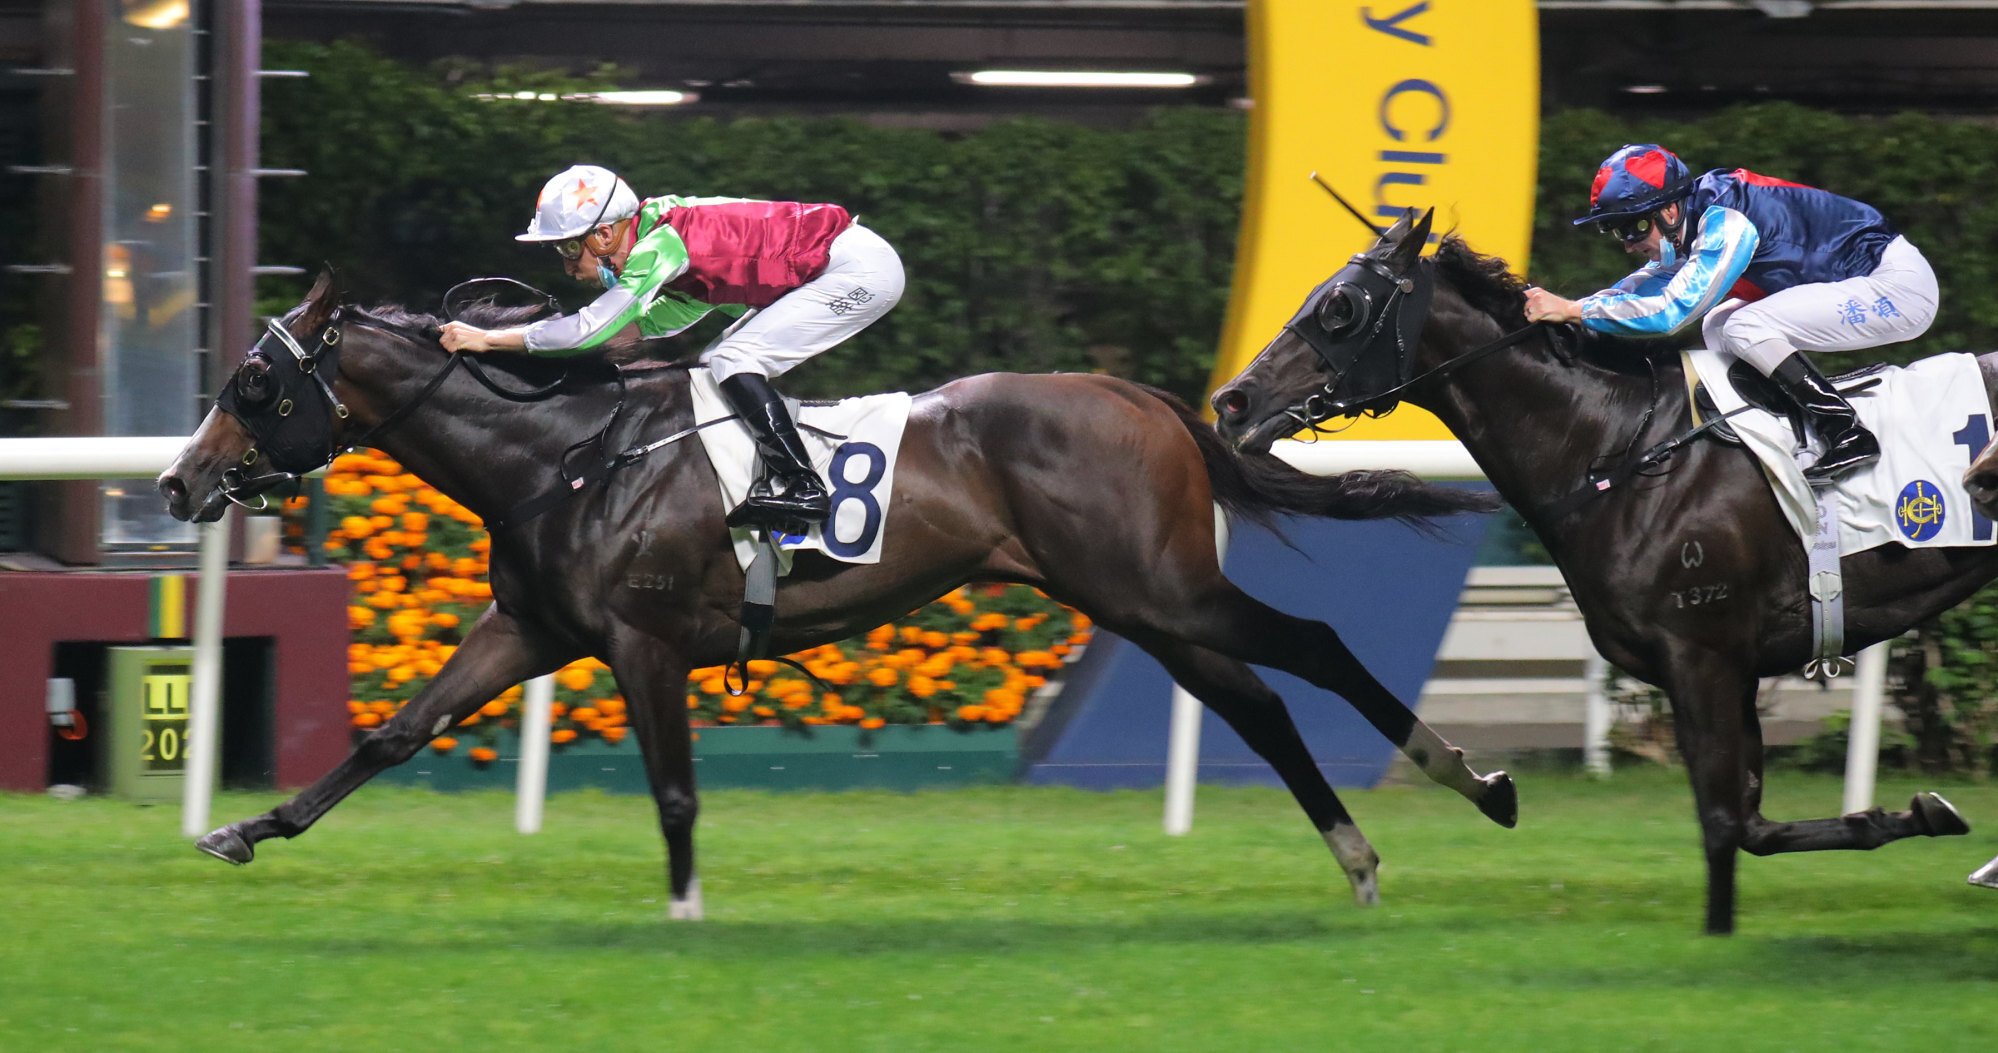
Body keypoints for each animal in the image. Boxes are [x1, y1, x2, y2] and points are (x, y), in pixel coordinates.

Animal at [163, 271, 1502, 923]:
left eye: (252, 384)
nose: (180, 481)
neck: (565, 454)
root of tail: (1146, 397)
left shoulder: (644, 642)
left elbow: (673, 786)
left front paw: (686, 907)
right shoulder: (532, 628)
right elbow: (395, 732)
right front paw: (243, 830)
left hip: (1159, 589)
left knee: (1314, 646)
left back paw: (1475, 781)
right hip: (1141, 606)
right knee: (1259, 706)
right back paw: (1361, 856)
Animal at [1206, 209, 1974, 935]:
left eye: (1341, 307)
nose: (1231, 402)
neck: (1621, 450)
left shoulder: (1703, 656)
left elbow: (1724, 823)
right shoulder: (1722, 667)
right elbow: (1748, 824)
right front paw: (1912, 815)